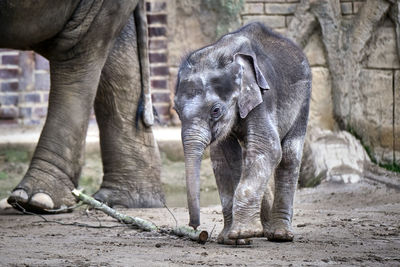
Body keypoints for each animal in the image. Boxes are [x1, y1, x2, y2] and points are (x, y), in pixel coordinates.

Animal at [175, 22, 312, 246]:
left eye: (216, 110)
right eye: (176, 110)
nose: (196, 228)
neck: (224, 53)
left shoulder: (263, 97)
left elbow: (269, 148)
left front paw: (241, 233)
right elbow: (223, 158)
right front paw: (231, 239)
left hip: (304, 100)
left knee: (289, 156)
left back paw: (280, 235)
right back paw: (264, 231)